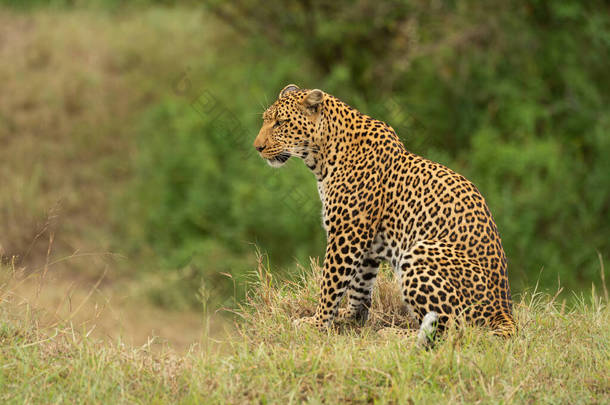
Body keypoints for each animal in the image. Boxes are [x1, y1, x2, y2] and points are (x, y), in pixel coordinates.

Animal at [251, 83, 512, 340]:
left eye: (281, 123)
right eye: (265, 120)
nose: (258, 148)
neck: (322, 156)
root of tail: (504, 311)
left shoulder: (347, 234)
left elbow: (331, 283)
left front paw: (317, 323)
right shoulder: (366, 243)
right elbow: (359, 286)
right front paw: (351, 317)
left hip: (420, 253)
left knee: (451, 330)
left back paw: (395, 333)